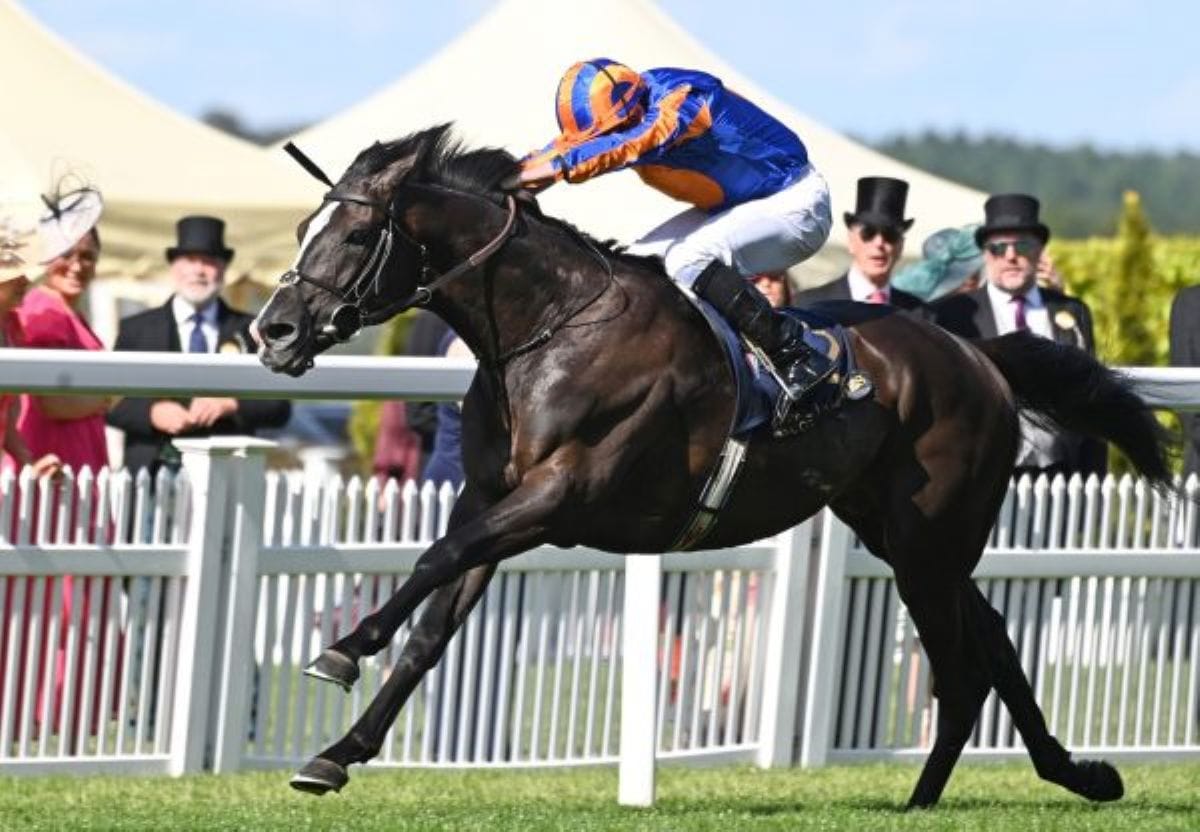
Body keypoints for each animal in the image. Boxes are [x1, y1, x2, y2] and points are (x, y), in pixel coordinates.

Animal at [253, 124, 1172, 809]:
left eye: (357, 234)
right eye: (300, 230)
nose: (274, 331)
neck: (547, 326)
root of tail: (977, 353)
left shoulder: (560, 495)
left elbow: (434, 561)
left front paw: (344, 648)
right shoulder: (492, 498)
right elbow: (433, 626)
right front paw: (338, 752)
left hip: (928, 540)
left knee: (963, 664)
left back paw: (936, 795)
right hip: (901, 532)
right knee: (996, 643)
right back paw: (1068, 775)